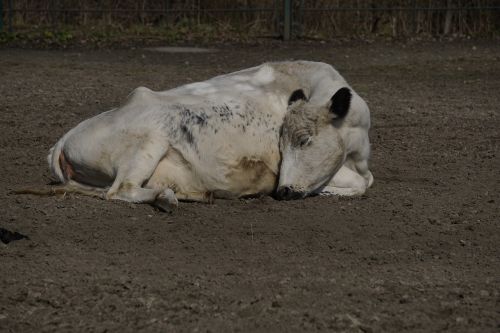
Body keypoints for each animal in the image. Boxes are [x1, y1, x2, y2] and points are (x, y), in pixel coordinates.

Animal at [25, 61, 374, 209]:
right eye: (286, 143)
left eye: (304, 140)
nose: (283, 191)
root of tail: (64, 140)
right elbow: (361, 183)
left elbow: (365, 182)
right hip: (150, 140)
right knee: (120, 190)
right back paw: (165, 198)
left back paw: (193, 194)